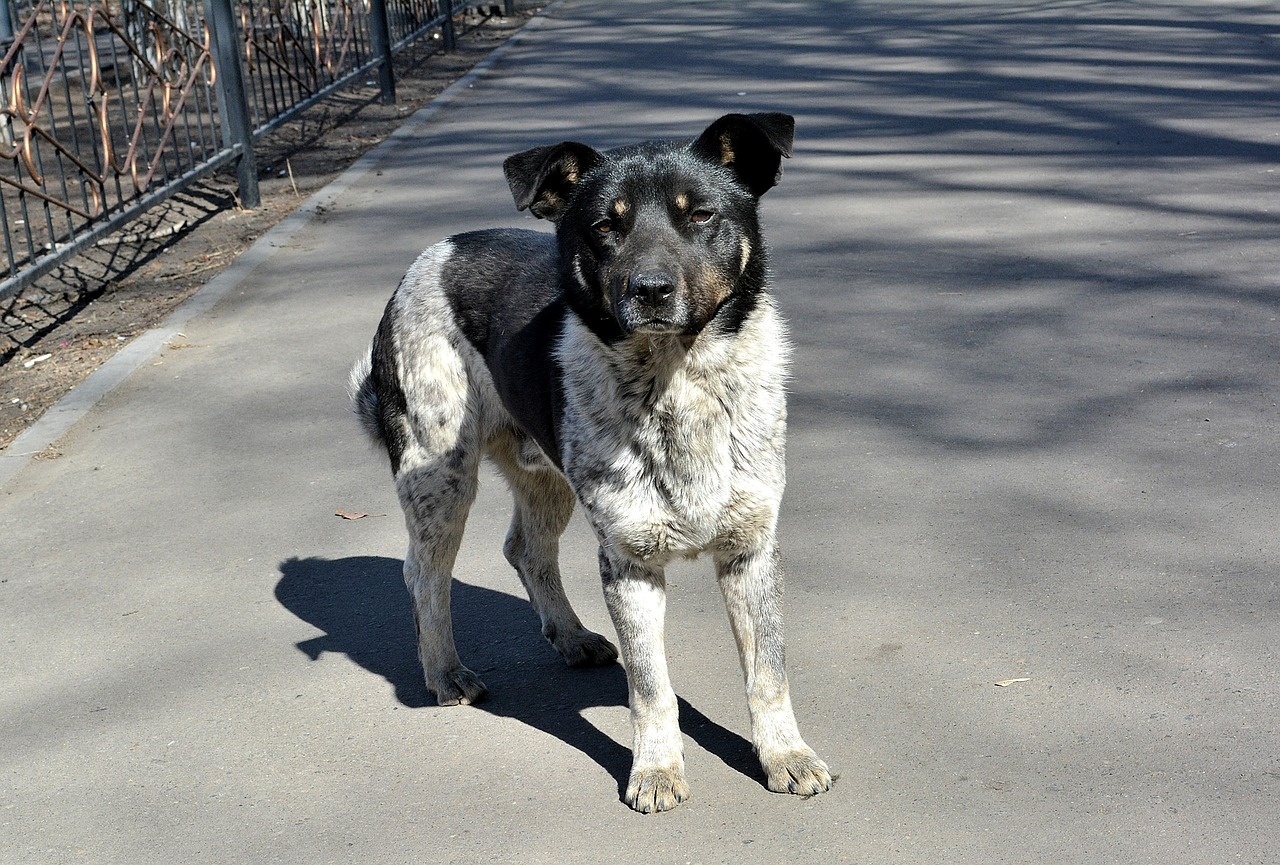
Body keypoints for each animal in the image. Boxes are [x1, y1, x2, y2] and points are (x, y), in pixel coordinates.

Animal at [350, 113, 829, 808]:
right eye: (606, 225)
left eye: (701, 214)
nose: (650, 291)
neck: (674, 381)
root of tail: (434, 254)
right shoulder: (629, 564)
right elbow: (652, 689)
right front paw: (656, 770)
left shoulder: (751, 551)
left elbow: (768, 671)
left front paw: (785, 755)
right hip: (440, 476)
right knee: (425, 575)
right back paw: (445, 673)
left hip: (545, 475)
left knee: (525, 549)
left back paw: (571, 636)